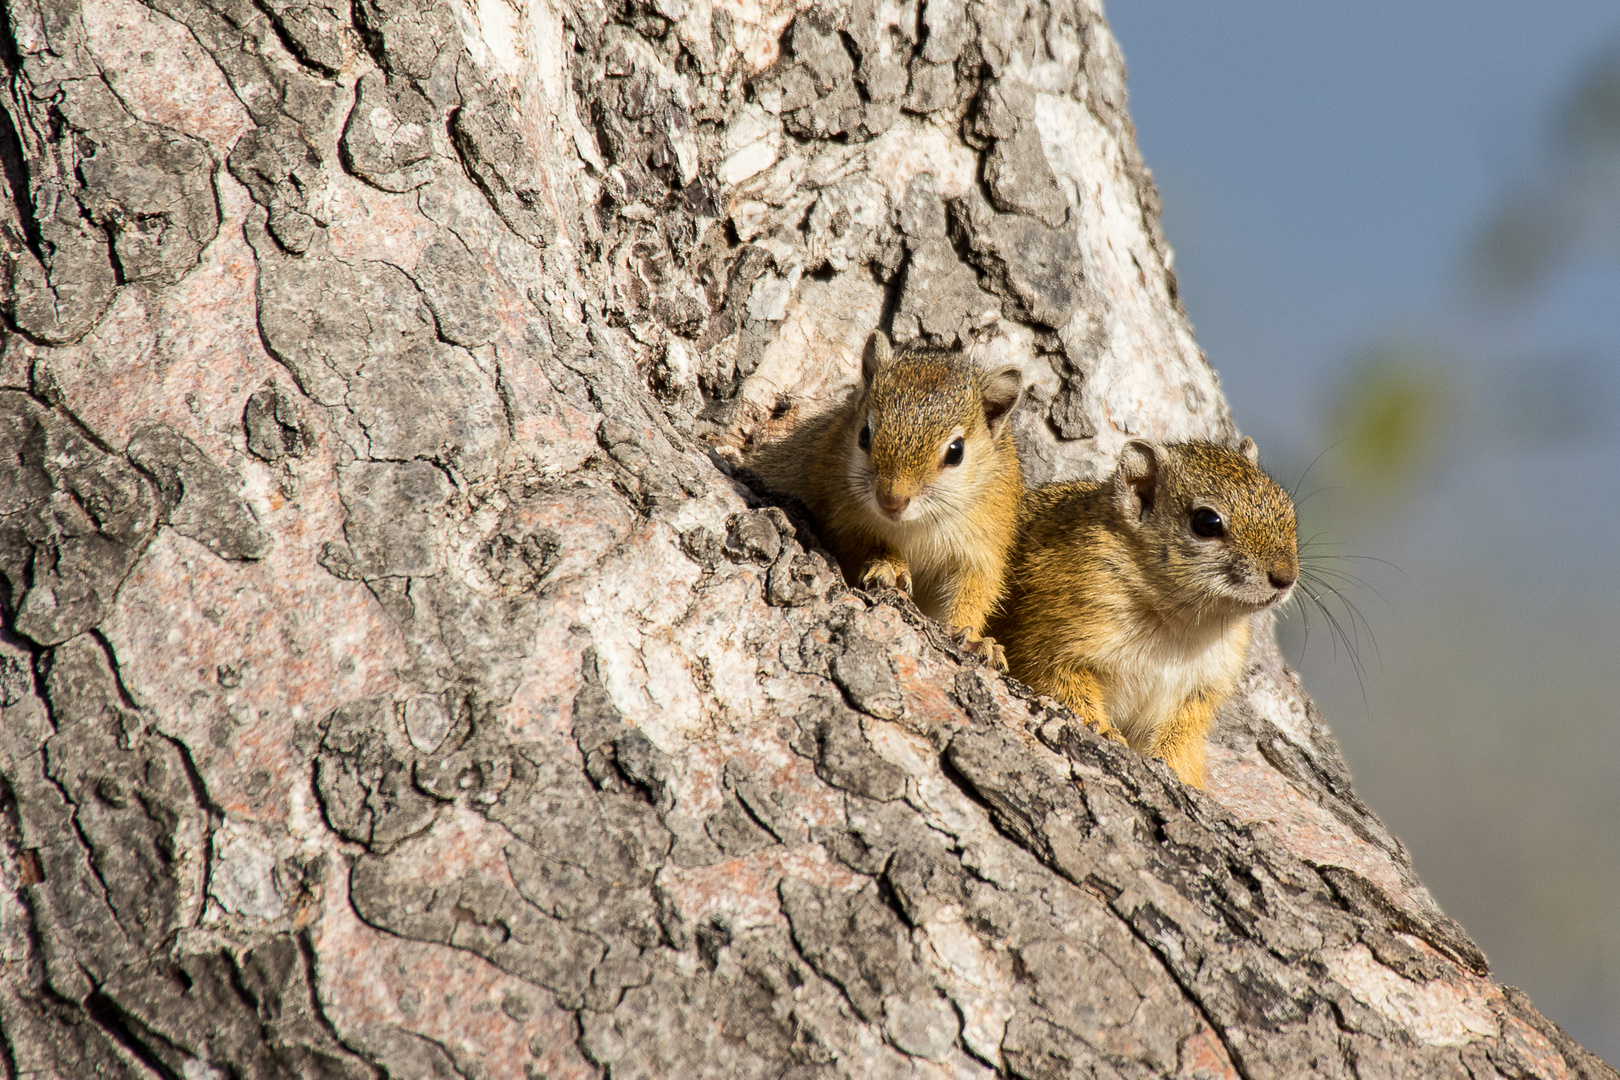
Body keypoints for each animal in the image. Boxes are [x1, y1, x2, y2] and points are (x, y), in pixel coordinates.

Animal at [748, 333, 1023, 663]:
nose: (891, 500)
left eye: (956, 451)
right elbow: (861, 543)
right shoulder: (835, 512)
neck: (913, 527)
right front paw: (888, 565)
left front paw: (973, 639)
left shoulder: (984, 543)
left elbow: (974, 591)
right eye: (864, 435)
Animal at [978, 437, 1296, 786]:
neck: (1180, 622)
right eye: (1206, 523)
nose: (1286, 577)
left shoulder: (1202, 688)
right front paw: (1103, 730)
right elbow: (1064, 688)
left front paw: (1178, 769)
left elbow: (1182, 732)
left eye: (1285, 504)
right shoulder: (1048, 640)